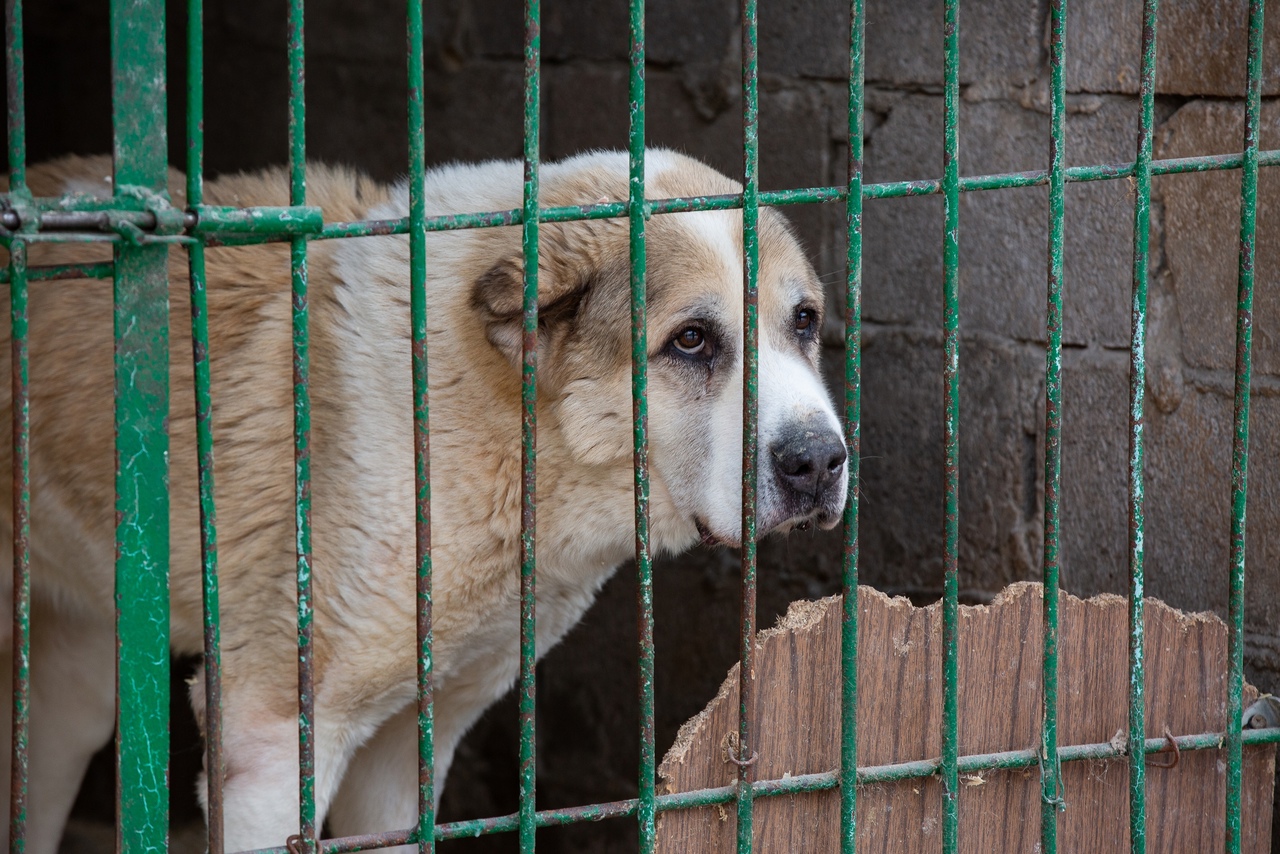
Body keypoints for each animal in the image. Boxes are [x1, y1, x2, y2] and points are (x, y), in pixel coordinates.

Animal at [0, 150, 849, 850]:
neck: (493, 420)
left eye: (804, 321)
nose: (819, 462)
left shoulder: (408, 740)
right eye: (692, 341)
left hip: (76, 687)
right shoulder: (269, 736)